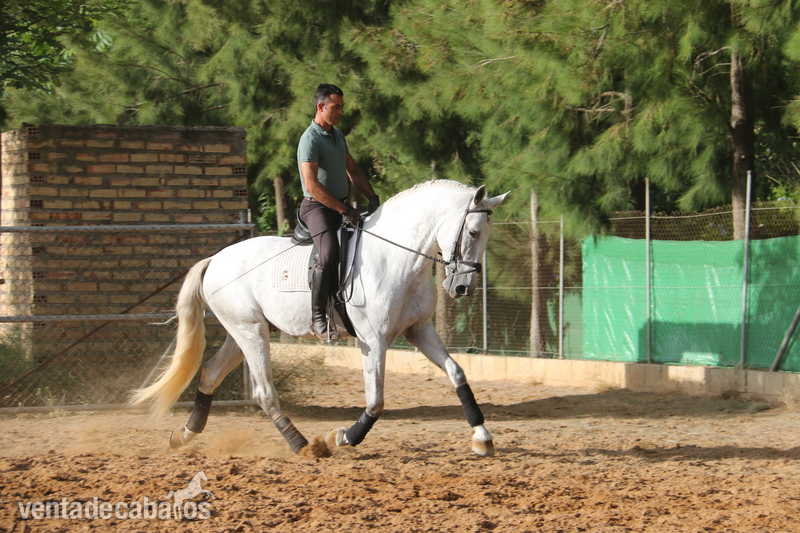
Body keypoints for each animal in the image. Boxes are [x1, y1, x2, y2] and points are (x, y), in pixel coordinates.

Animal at [131, 180, 508, 458]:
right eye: (473, 233)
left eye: (488, 235)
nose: (462, 287)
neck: (396, 257)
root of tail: (216, 259)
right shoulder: (373, 342)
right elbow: (376, 402)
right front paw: (342, 437)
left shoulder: (419, 331)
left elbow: (457, 374)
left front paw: (482, 437)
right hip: (250, 333)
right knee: (264, 393)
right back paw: (303, 445)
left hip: (242, 332)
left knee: (210, 373)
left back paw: (184, 434)